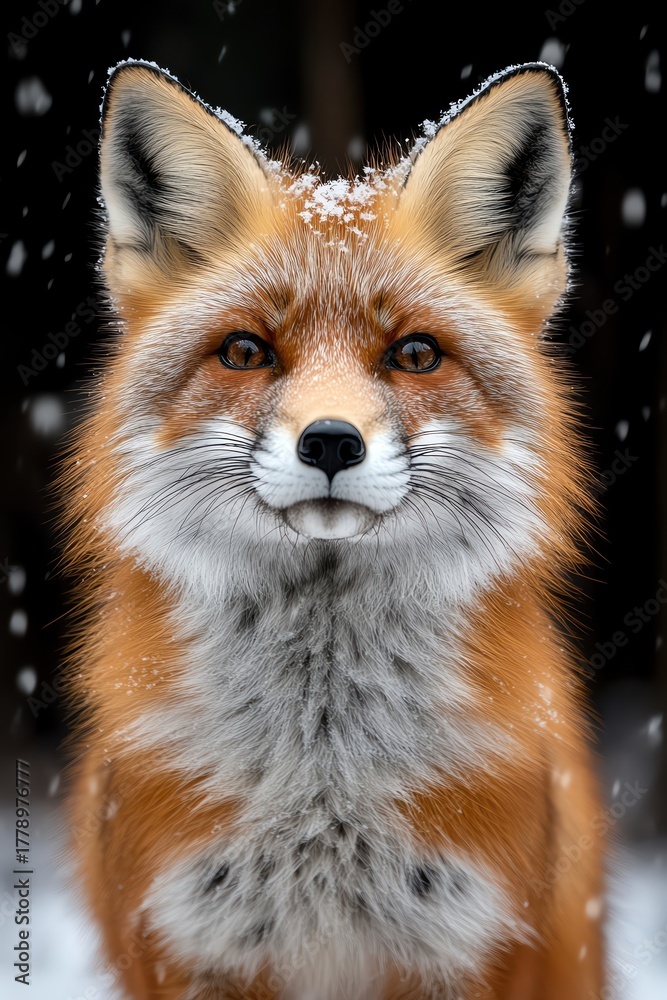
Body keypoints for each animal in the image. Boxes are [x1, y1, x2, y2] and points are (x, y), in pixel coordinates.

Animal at [59, 59, 606, 999]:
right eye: (246, 352)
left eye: (414, 354)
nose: (329, 442)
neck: (323, 777)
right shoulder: (188, 947)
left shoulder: (473, 947)